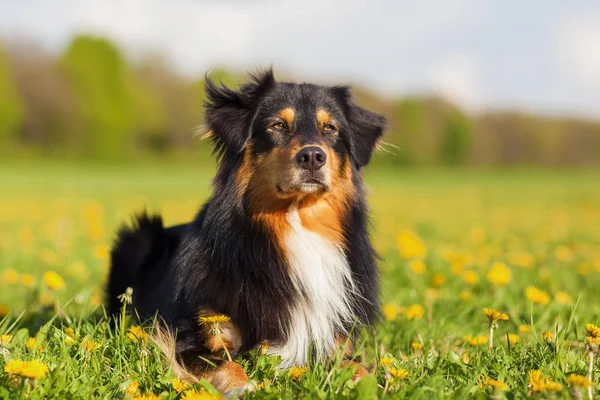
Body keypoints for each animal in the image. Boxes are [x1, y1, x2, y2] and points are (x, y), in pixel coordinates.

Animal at [106, 69, 386, 394]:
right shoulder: (189, 338)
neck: (295, 222)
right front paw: (245, 387)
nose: (313, 157)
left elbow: (359, 368)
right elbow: (227, 363)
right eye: (277, 125)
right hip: (139, 237)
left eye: (330, 128)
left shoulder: (335, 340)